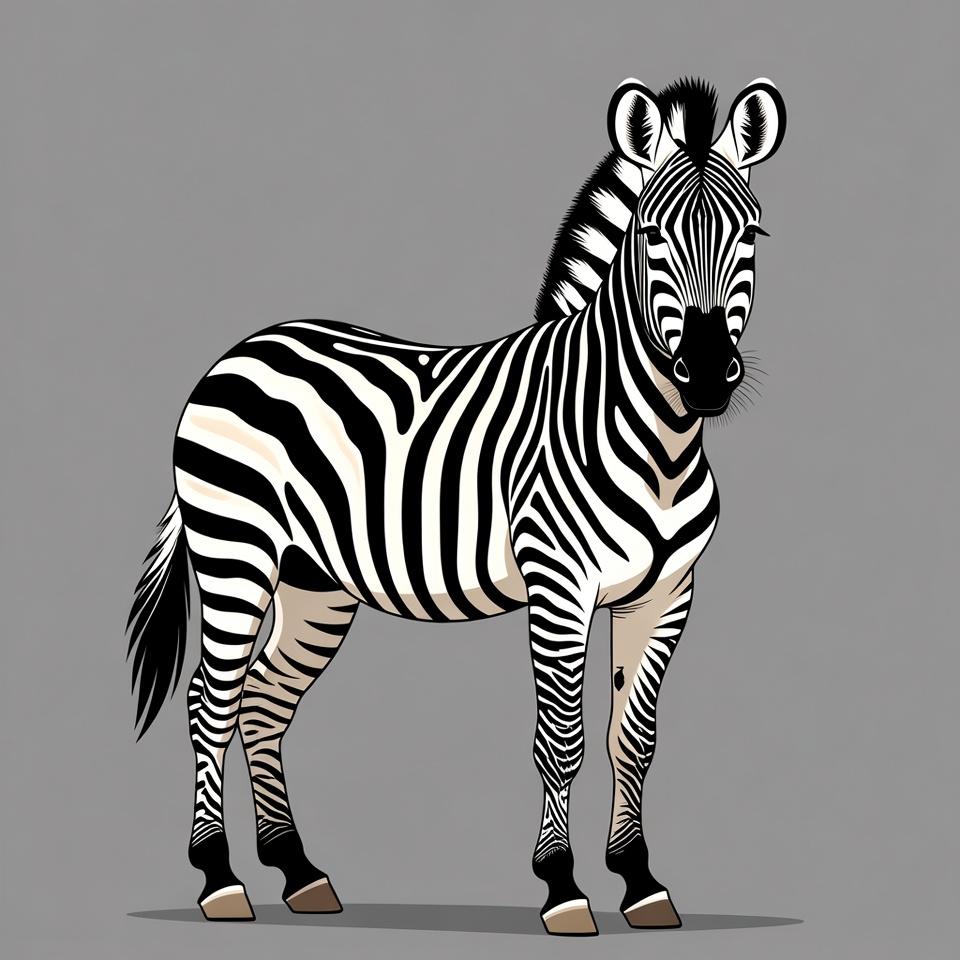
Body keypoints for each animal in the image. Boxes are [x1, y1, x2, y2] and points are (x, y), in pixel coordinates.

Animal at [128, 76, 786, 936]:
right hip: (234, 550)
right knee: (212, 701)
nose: (706, 373)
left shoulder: (667, 594)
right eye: (651, 236)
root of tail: (239, 351)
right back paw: (219, 880)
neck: (658, 444)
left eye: (750, 235)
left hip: (315, 581)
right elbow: (562, 737)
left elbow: (632, 740)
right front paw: (562, 887)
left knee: (265, 701)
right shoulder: (558, 583)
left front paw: (641, 882)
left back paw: (299, 872)